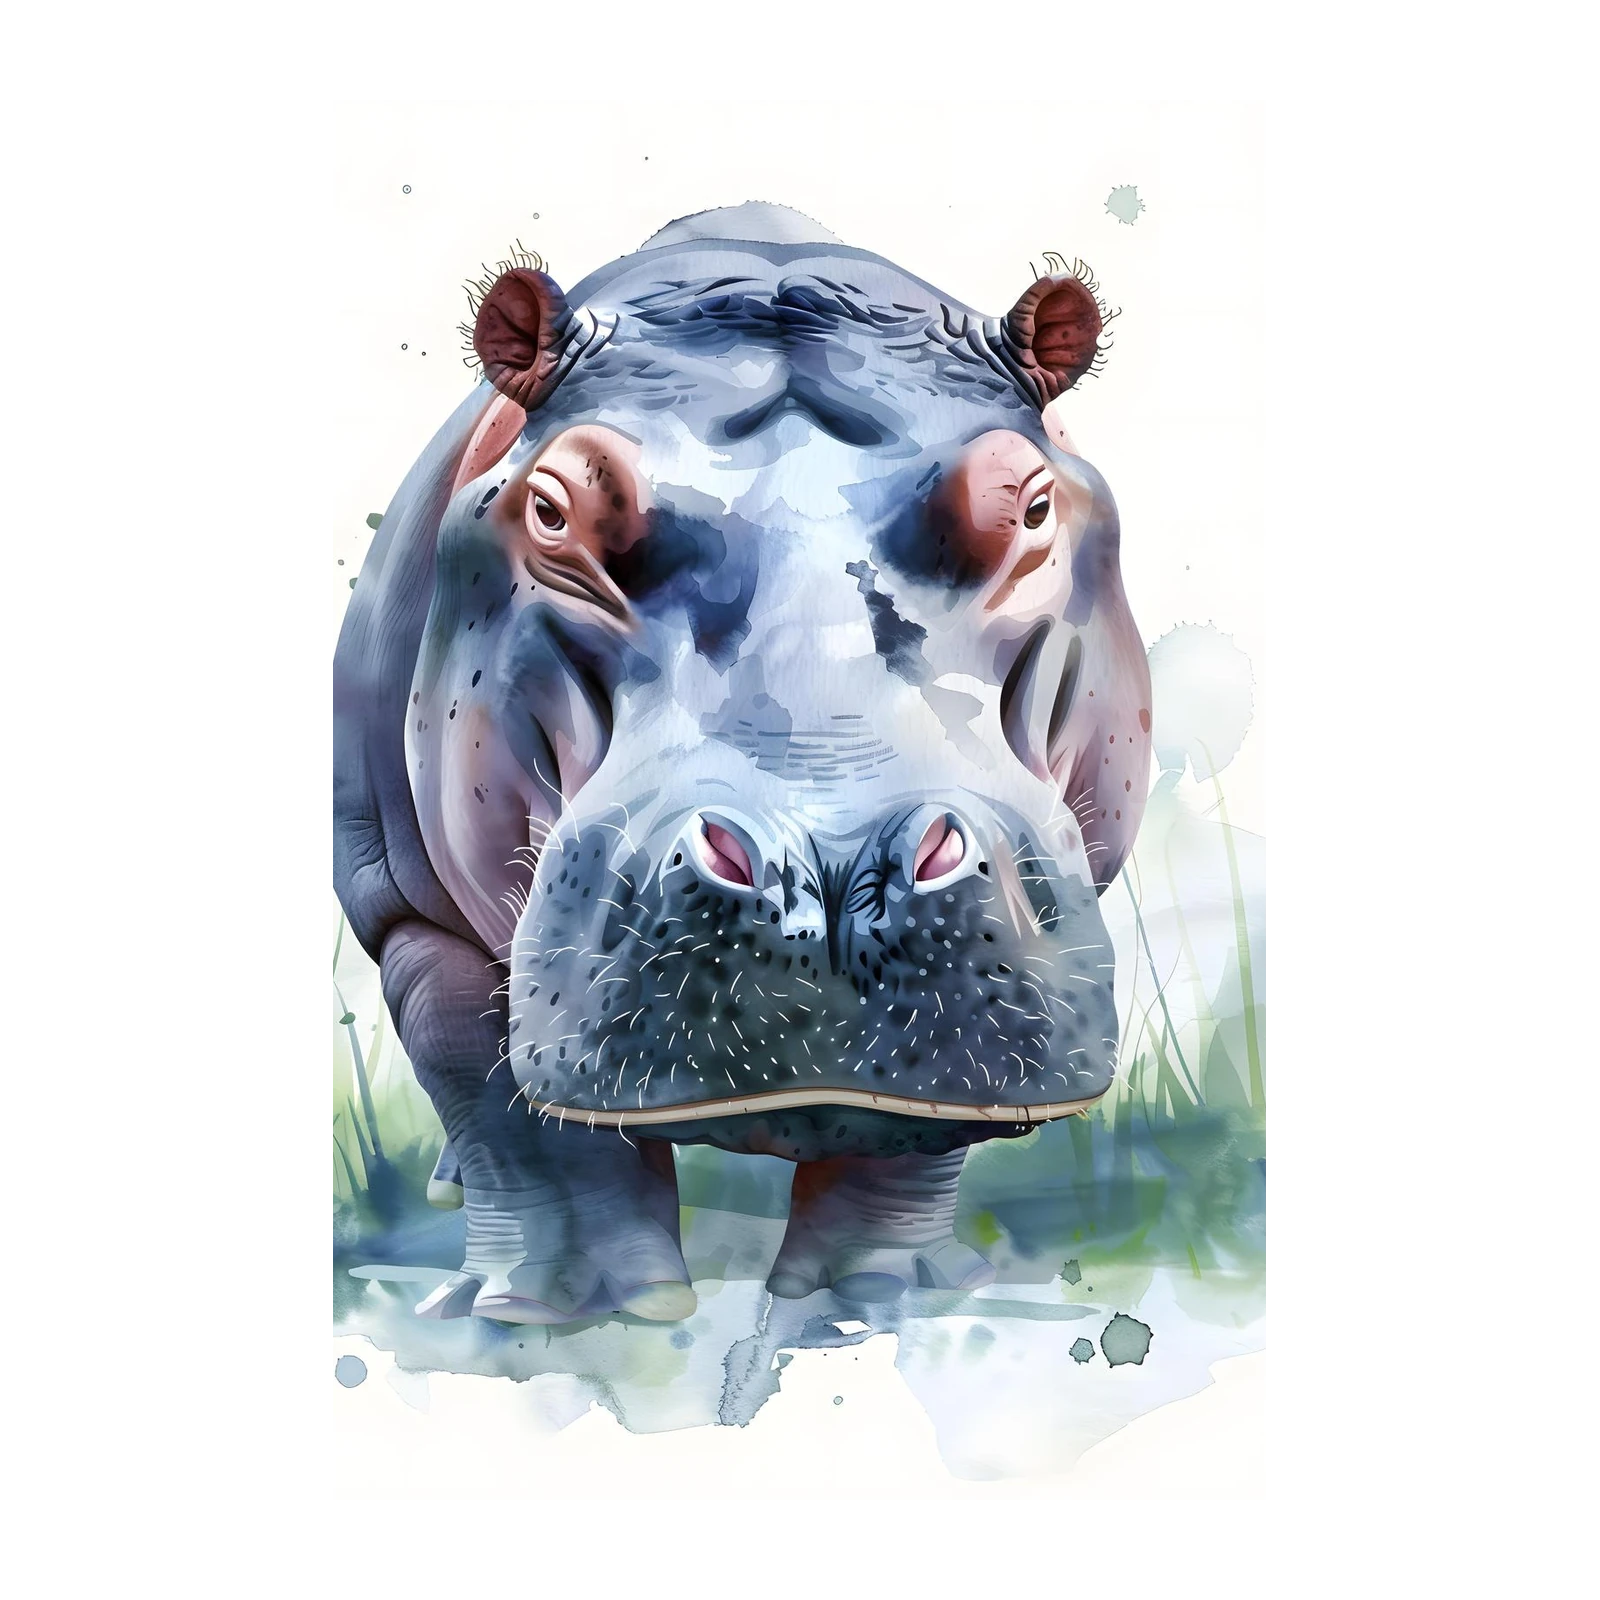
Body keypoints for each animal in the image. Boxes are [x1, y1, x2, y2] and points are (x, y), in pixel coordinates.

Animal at [331, 203, 1152, 1324]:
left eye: (1029, 506)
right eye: (550, 508)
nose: (836, 862)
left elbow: (916, 1140)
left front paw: (880, 1294)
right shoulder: (409, 917)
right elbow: (509, 1117)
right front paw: (570, 1309)